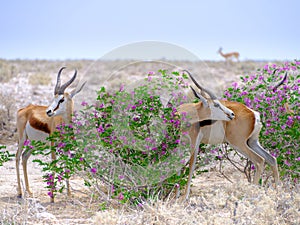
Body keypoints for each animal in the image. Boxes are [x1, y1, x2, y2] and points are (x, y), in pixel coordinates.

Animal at [15, 67, 86, 202]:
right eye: (54, 98)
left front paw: (69, 195)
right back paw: (20, 193)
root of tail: (24, 109)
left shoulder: (66, 147)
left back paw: (29, 192)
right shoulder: (53, 145)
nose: (48, 111)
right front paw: (52, 198)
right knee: (17, 157)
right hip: (22, 139)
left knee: (24, 157)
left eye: (62, 99)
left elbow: (66, 166)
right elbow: (54, 165)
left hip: (35, 144)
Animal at [178, 71, 278, 200]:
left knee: (260, 161)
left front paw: (183, 197)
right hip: (252, 142)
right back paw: (278, 190)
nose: (231, 114)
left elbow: (191, 166)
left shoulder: (194, 142)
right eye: (216, 104)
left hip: (238, 144)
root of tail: (253, 113)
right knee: (272, 159)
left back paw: (251, 193)